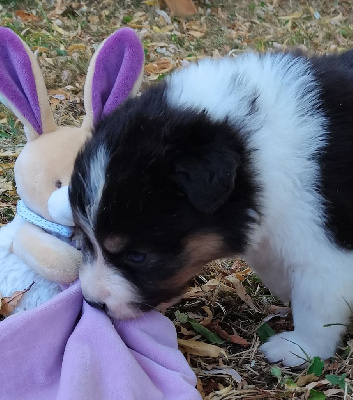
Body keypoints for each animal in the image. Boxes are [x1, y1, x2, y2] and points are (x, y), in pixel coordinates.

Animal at [69, 49, 353, 366]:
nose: (93, 302)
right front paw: (284, 289)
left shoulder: (325, 251)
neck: (253, 146)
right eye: (82, 239)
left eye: (137, 256)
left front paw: (299, 348)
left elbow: (316, 306)